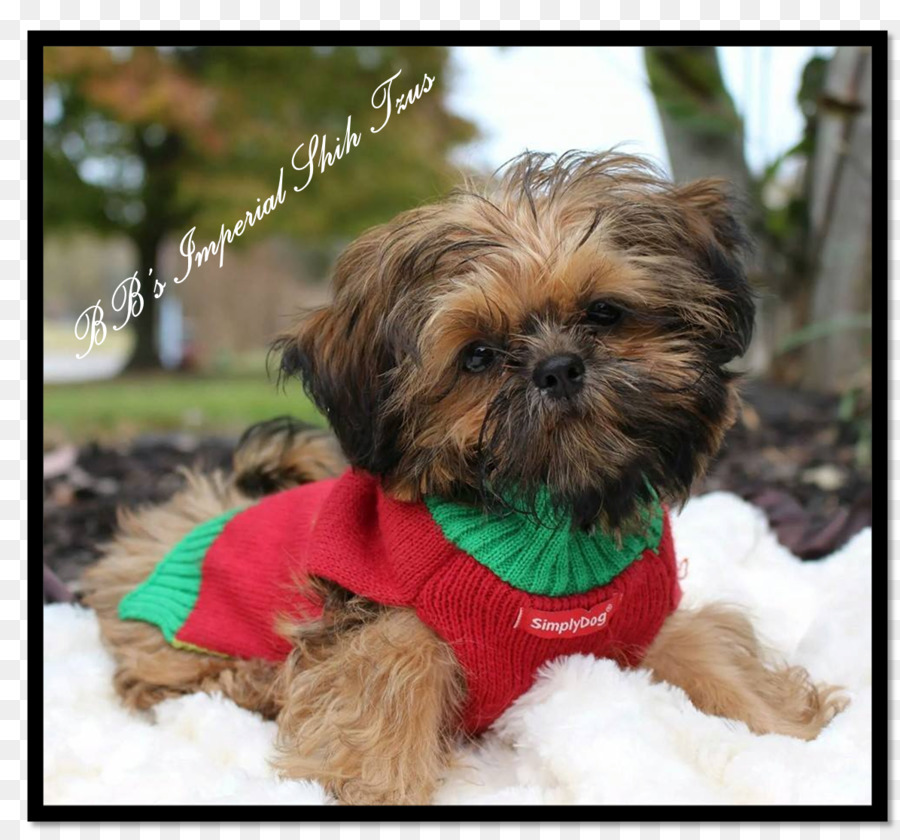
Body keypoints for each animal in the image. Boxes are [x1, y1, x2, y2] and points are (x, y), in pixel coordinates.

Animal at [82, 153, 844, 808]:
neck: (547, 530)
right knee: (151, 678)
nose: (559, 367)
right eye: (477, 356)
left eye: (604, 312)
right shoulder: (379, 618)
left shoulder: (642, 616)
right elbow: (388, 675)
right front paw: (374, 790)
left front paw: (791, 739)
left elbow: (713, 654)